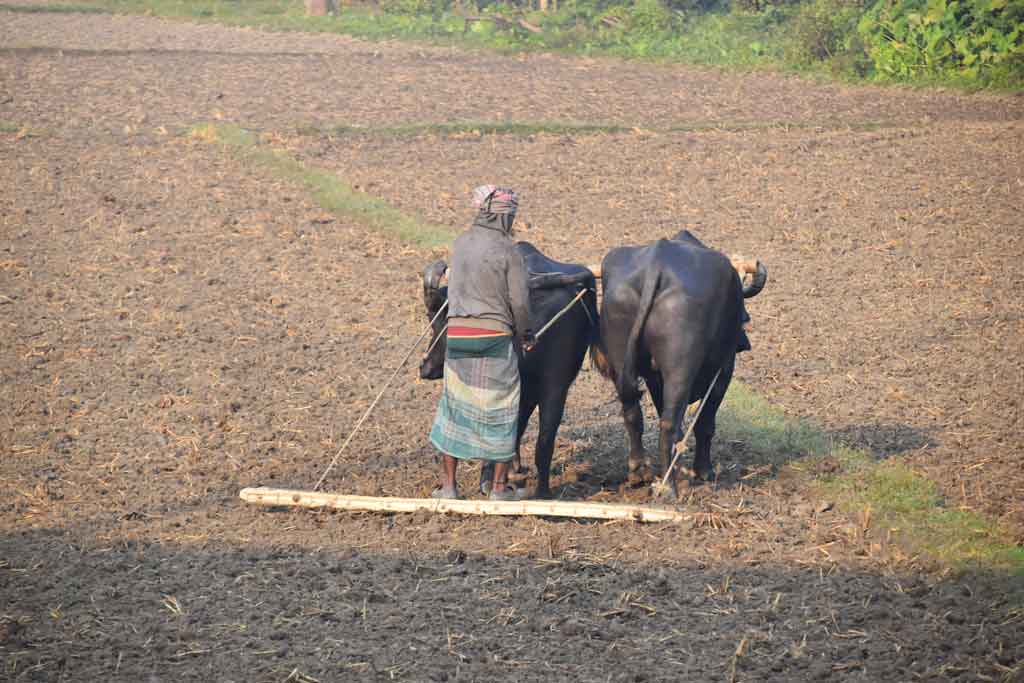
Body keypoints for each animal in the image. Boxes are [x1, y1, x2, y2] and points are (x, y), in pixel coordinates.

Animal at [589, 229, 765, 497]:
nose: (744, 344)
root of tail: (657, 262)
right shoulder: (724, 371)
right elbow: (705, 423)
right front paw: (703, 471)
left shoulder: (654, 377)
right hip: (680, 369)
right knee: (668, 423)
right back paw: (669, 487)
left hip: (621, 360)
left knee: (632, 412)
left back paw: (639, 472)